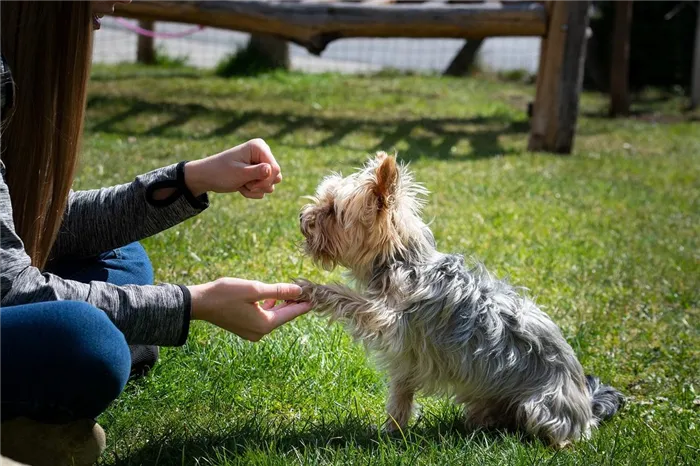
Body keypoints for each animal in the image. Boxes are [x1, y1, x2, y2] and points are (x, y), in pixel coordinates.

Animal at [296, 150, 624, 448]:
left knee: (558, 435)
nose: (302, 217)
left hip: (542, 407)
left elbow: (349, 298)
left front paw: (311, 289)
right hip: (487, 398)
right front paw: (392, 431)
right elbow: (401, 394)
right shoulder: (407, 357)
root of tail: (587, 407)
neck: (402, 260)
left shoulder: (387, 317)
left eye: (332, 210)